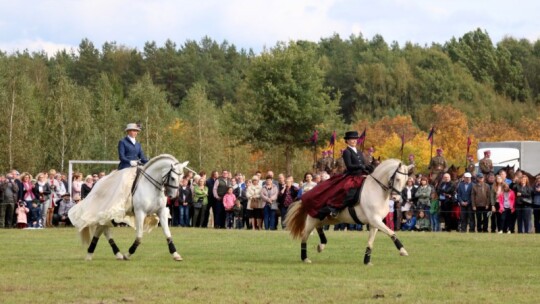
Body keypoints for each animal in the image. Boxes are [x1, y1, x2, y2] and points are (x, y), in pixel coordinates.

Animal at [284, 159, 412, 264]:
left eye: (406, 181)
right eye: (398, 179)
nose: (396, 198)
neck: (377, 190)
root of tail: (307, 192)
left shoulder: (375, 223)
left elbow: (371, 242)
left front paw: (367, 261)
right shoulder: (375, 220)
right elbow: (391, 232)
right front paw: (403, 251)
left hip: (329, 219)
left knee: (319, 227)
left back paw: (321, 246)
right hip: (313, 219)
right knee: (304, 236)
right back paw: (305, 258)